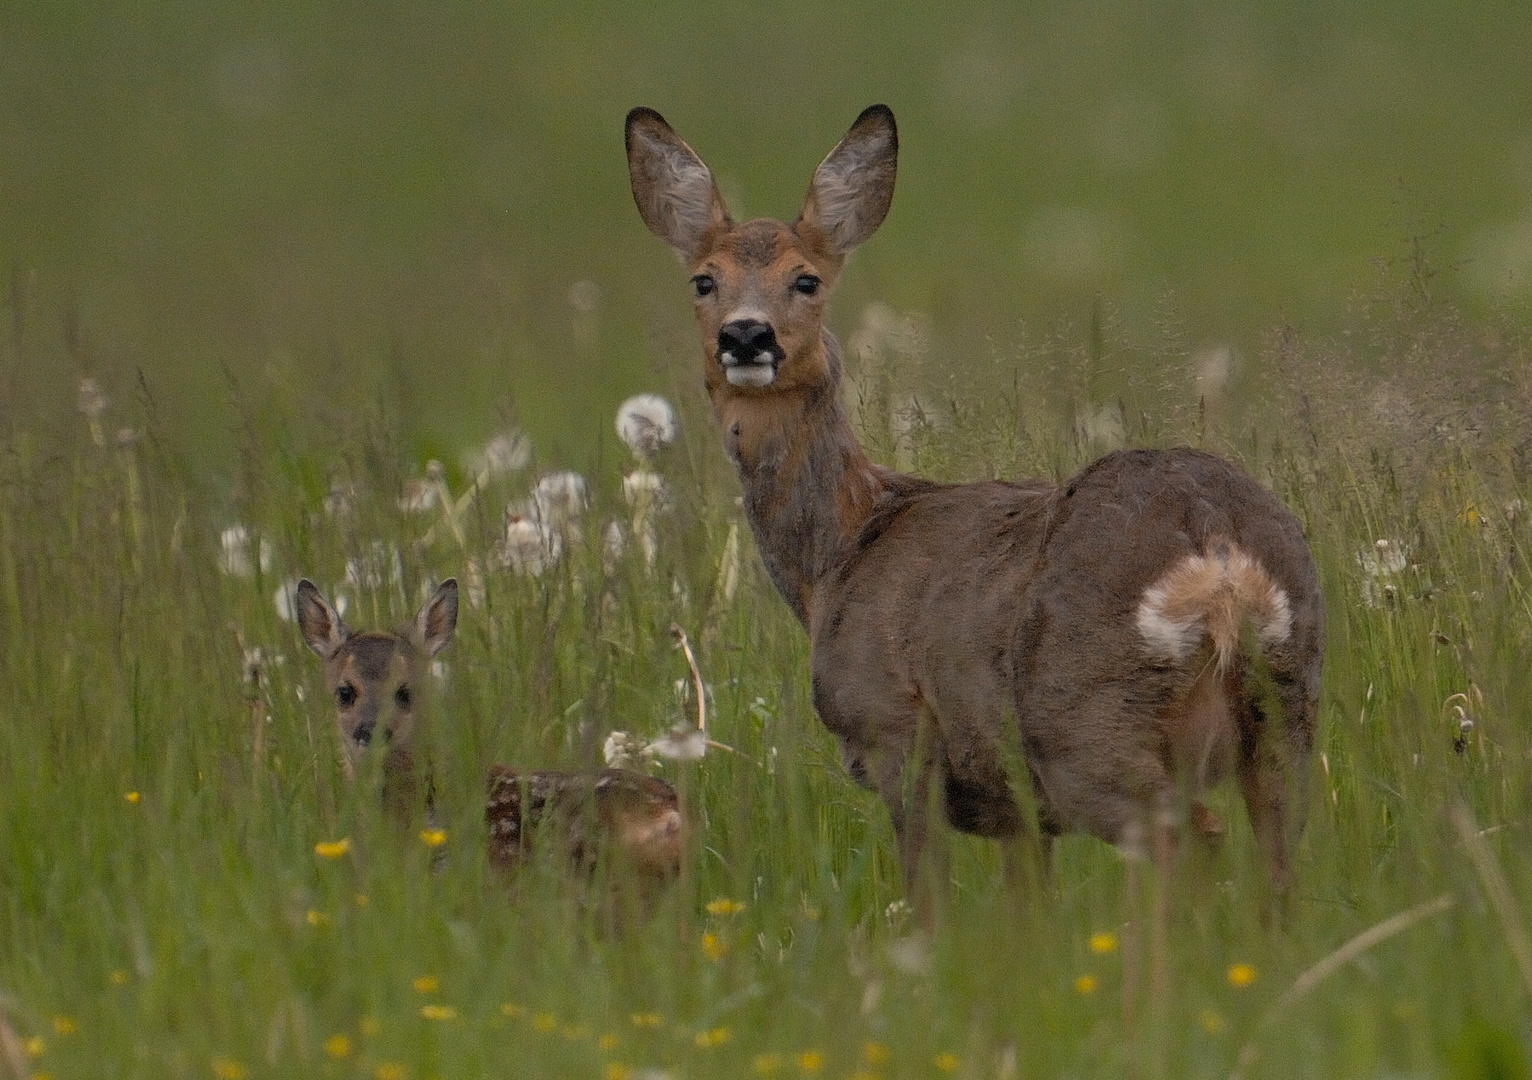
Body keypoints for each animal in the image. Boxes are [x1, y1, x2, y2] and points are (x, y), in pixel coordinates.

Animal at [628, 103, 1323, 906]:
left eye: (806, 279)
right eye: (702, 280)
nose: (746, 336)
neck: (840, 552)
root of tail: (1216, 549)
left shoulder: (894, 729)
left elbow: (924, 892)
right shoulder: (1013, 808)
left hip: (1087, 726)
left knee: (1194, 841)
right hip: (1287, 707)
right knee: (1278, 858)